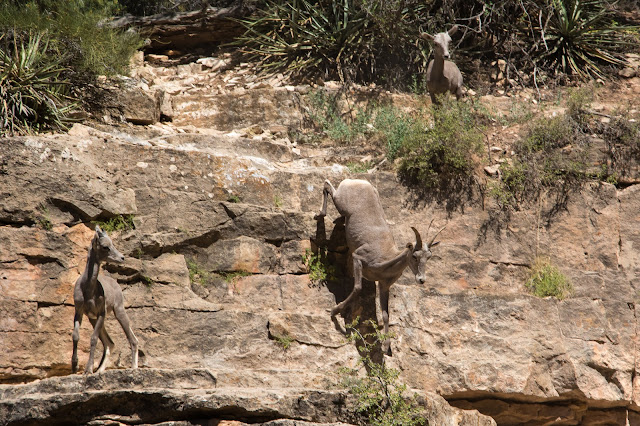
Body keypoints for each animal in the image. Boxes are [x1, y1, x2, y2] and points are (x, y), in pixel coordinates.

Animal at [72, 225, 138, 374]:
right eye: (105, 246)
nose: (122, 258)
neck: (88, 291)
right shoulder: (80, 312)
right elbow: (76, 336)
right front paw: (74, 367)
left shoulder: (101, 313)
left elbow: (93, 339)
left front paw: (88, 370)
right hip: (94, 319)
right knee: (110, 343)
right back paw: (100, 370)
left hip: (118, 311)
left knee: (132, 339)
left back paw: (133, 368)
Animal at [312, 180, 442, 352]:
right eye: (414, 256)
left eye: (429, 257)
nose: (421, 279)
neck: (385, 261)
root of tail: (360, 182)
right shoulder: (358, 259)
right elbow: (357, 288)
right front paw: (334, 311)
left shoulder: (384, 285)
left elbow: (386, 314)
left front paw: (386, 347)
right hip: (340, 202)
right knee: (327, 185)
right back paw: (319, 215)